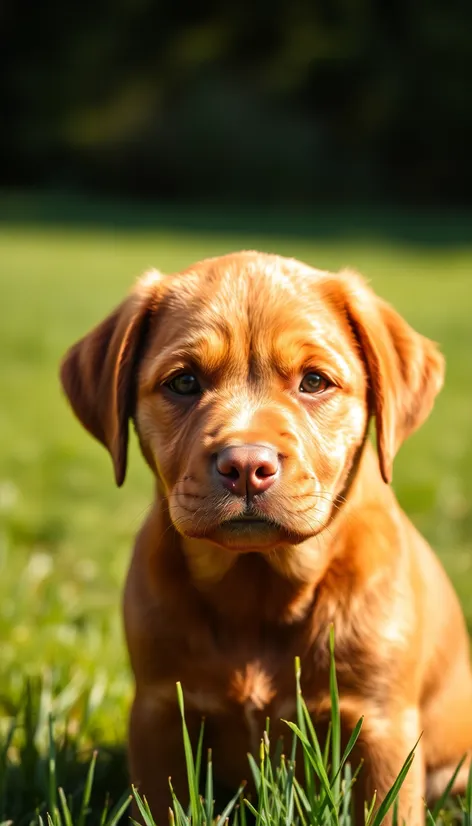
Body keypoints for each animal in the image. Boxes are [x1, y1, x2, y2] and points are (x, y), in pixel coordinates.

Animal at [60, 253, 472, 824]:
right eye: (183, 383)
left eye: (315, 381)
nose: (246, 467)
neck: (257, 584)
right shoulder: (159, 714)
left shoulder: (381, 727)